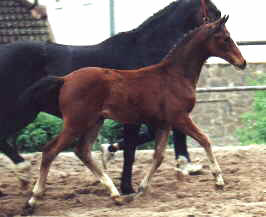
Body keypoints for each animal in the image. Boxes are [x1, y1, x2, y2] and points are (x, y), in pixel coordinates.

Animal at [0, 0, 220, 193]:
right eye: (214, 14)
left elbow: (144, 139)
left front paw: (109, 152)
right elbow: (131, 148)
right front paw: (127, 187)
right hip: (22, 112)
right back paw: (23, 171)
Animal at [21, 16, 246, 213]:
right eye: (224, 38)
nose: (242, 62)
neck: (175, 75)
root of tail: (65, 79)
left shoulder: (163, 123)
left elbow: (158, 156)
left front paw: (141, 189)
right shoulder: (179, 118)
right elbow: (205, 139)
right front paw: (219, 181)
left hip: (95, 122)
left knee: (82, 151)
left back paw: (116, 195)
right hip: (76, 123)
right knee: (50, 151)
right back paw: (32, 201)